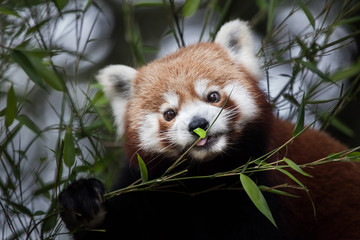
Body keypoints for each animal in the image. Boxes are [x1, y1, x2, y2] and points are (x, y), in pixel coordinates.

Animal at [59, 19, 360, 239]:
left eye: (213, 96)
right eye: (170, 114)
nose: (198, 125)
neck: (205, 177)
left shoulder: (261, 186)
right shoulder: (149, 187)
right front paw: (82, 202)